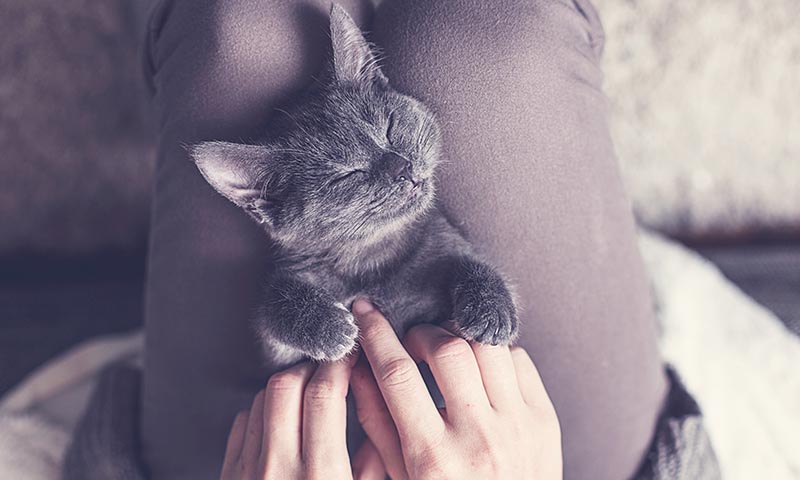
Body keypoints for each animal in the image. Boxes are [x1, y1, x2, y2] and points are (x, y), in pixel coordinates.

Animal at [191, 4, 520, 364]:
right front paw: (326, 325)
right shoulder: (279, 352)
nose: (402, 168)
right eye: (349, 174)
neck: (374, 258)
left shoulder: (443, 238)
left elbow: (473, 261)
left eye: (390, 127)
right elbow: (272, 304)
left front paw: (492, 308)